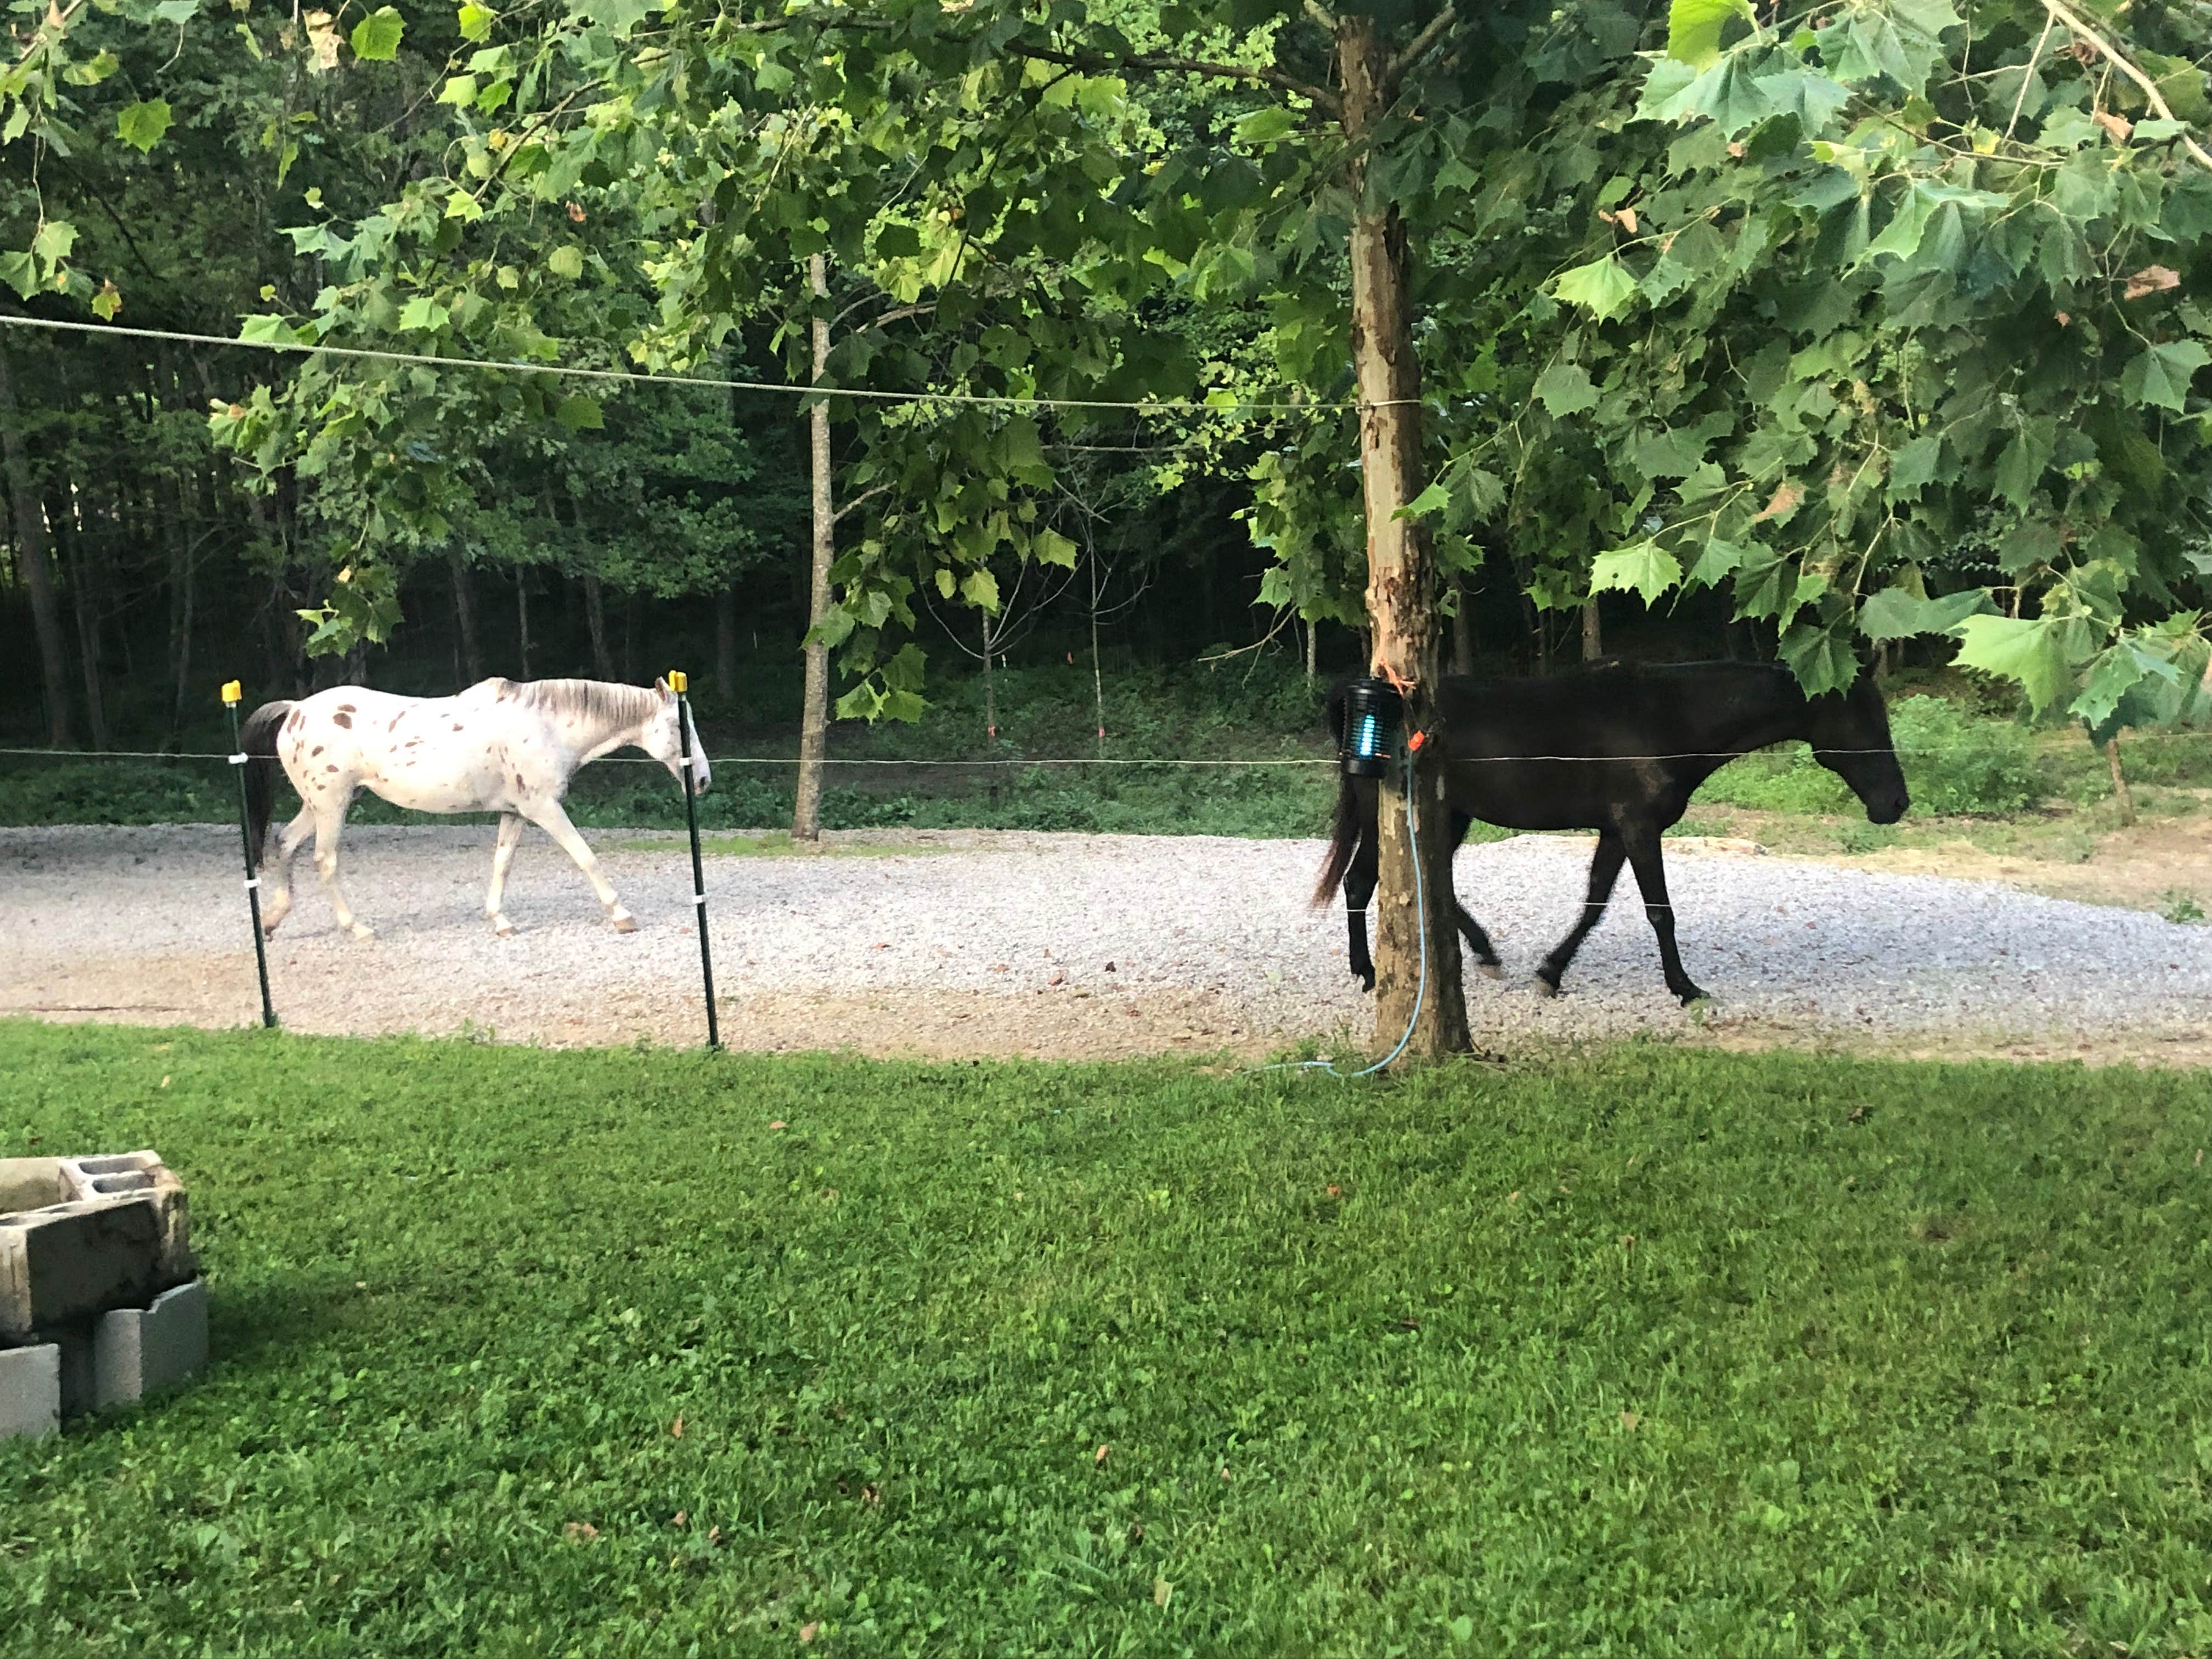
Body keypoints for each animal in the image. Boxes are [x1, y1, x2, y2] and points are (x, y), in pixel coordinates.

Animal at [239, 676, 709, 940]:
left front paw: (499, 921)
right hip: (332, 805)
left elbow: (502, 863)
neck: (547, 725)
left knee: (285, 843)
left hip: (320, 805)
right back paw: (357, 929)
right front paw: (622, 915)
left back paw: (272, 920)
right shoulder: (545, 809)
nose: (702, 779)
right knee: (325, 860)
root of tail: (296, 710)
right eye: (678, 725)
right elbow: (586, 857)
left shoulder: (515, 813)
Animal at [1314, 661, 1909, 1004]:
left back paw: (1477, 951)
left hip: (1450, 814)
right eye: (1865, 722)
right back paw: (1370, 972)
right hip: (1391, 816)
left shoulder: (1617, 831)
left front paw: (1551, 972)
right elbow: (1660, 912)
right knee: (1363, 882)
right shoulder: (1640, 829)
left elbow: (1595, 903)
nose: (1897, 803)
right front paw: (1685, 988)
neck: (1669, 721)